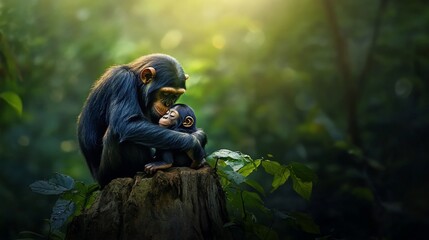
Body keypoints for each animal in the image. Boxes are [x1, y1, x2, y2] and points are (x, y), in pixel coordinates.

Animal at [77, 53, 206, 187]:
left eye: (175, 95)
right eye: (165, 93)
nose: (168, 104)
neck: (137, 84)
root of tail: (98, 181)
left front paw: (198, 135)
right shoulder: (122, 81)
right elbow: (127, 123)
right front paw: (194, 144)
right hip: (108, 175)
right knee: (117, 134)